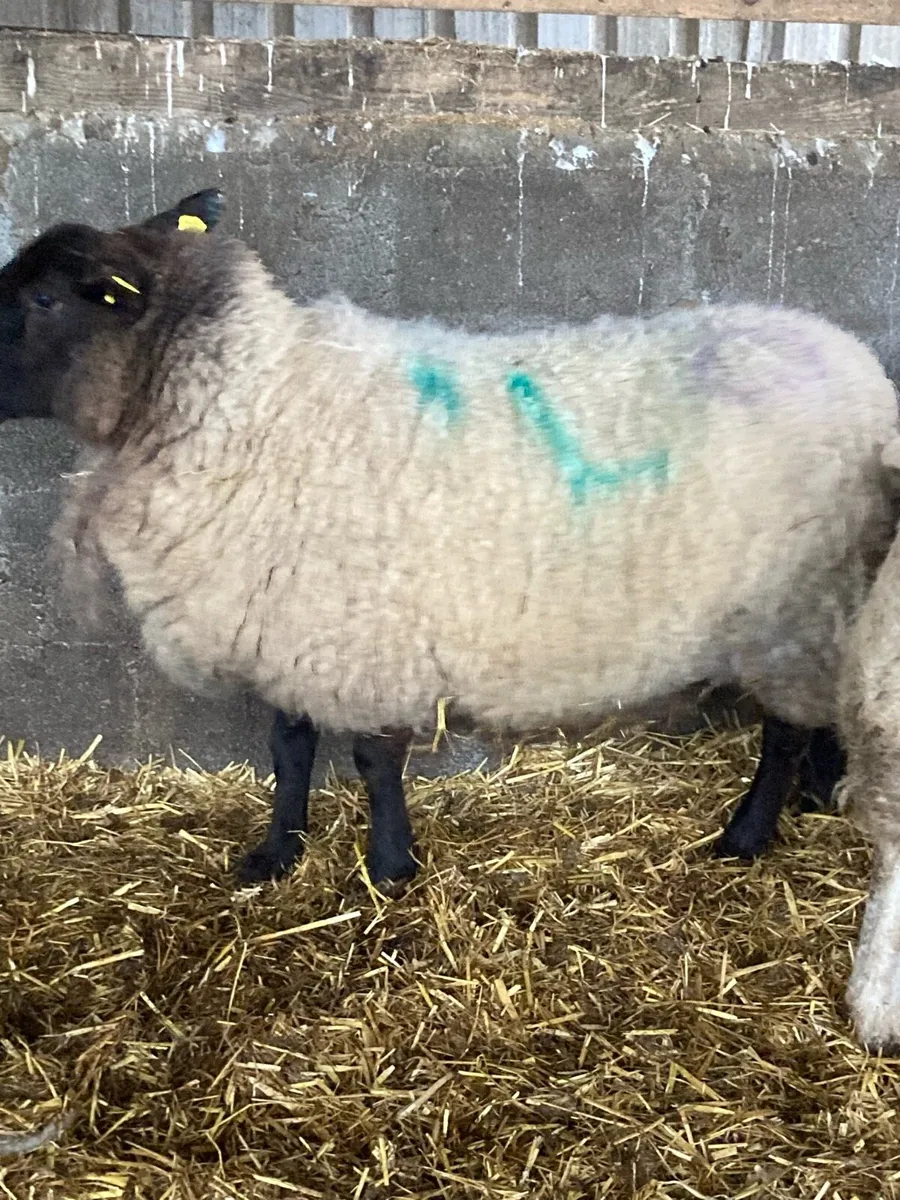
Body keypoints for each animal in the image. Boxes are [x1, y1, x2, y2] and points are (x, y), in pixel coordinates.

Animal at [0, 208, 897, 892]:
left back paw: (745, 836)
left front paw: (390, 867)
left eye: (44, 296)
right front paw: (276, 854)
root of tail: (855, 364)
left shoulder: (360, 638)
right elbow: (289, 750)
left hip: (791, 604)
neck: (257, 406)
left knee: (782, 732)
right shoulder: (289, 624)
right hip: (828, 598)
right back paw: (815, 794)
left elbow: (372, 760)